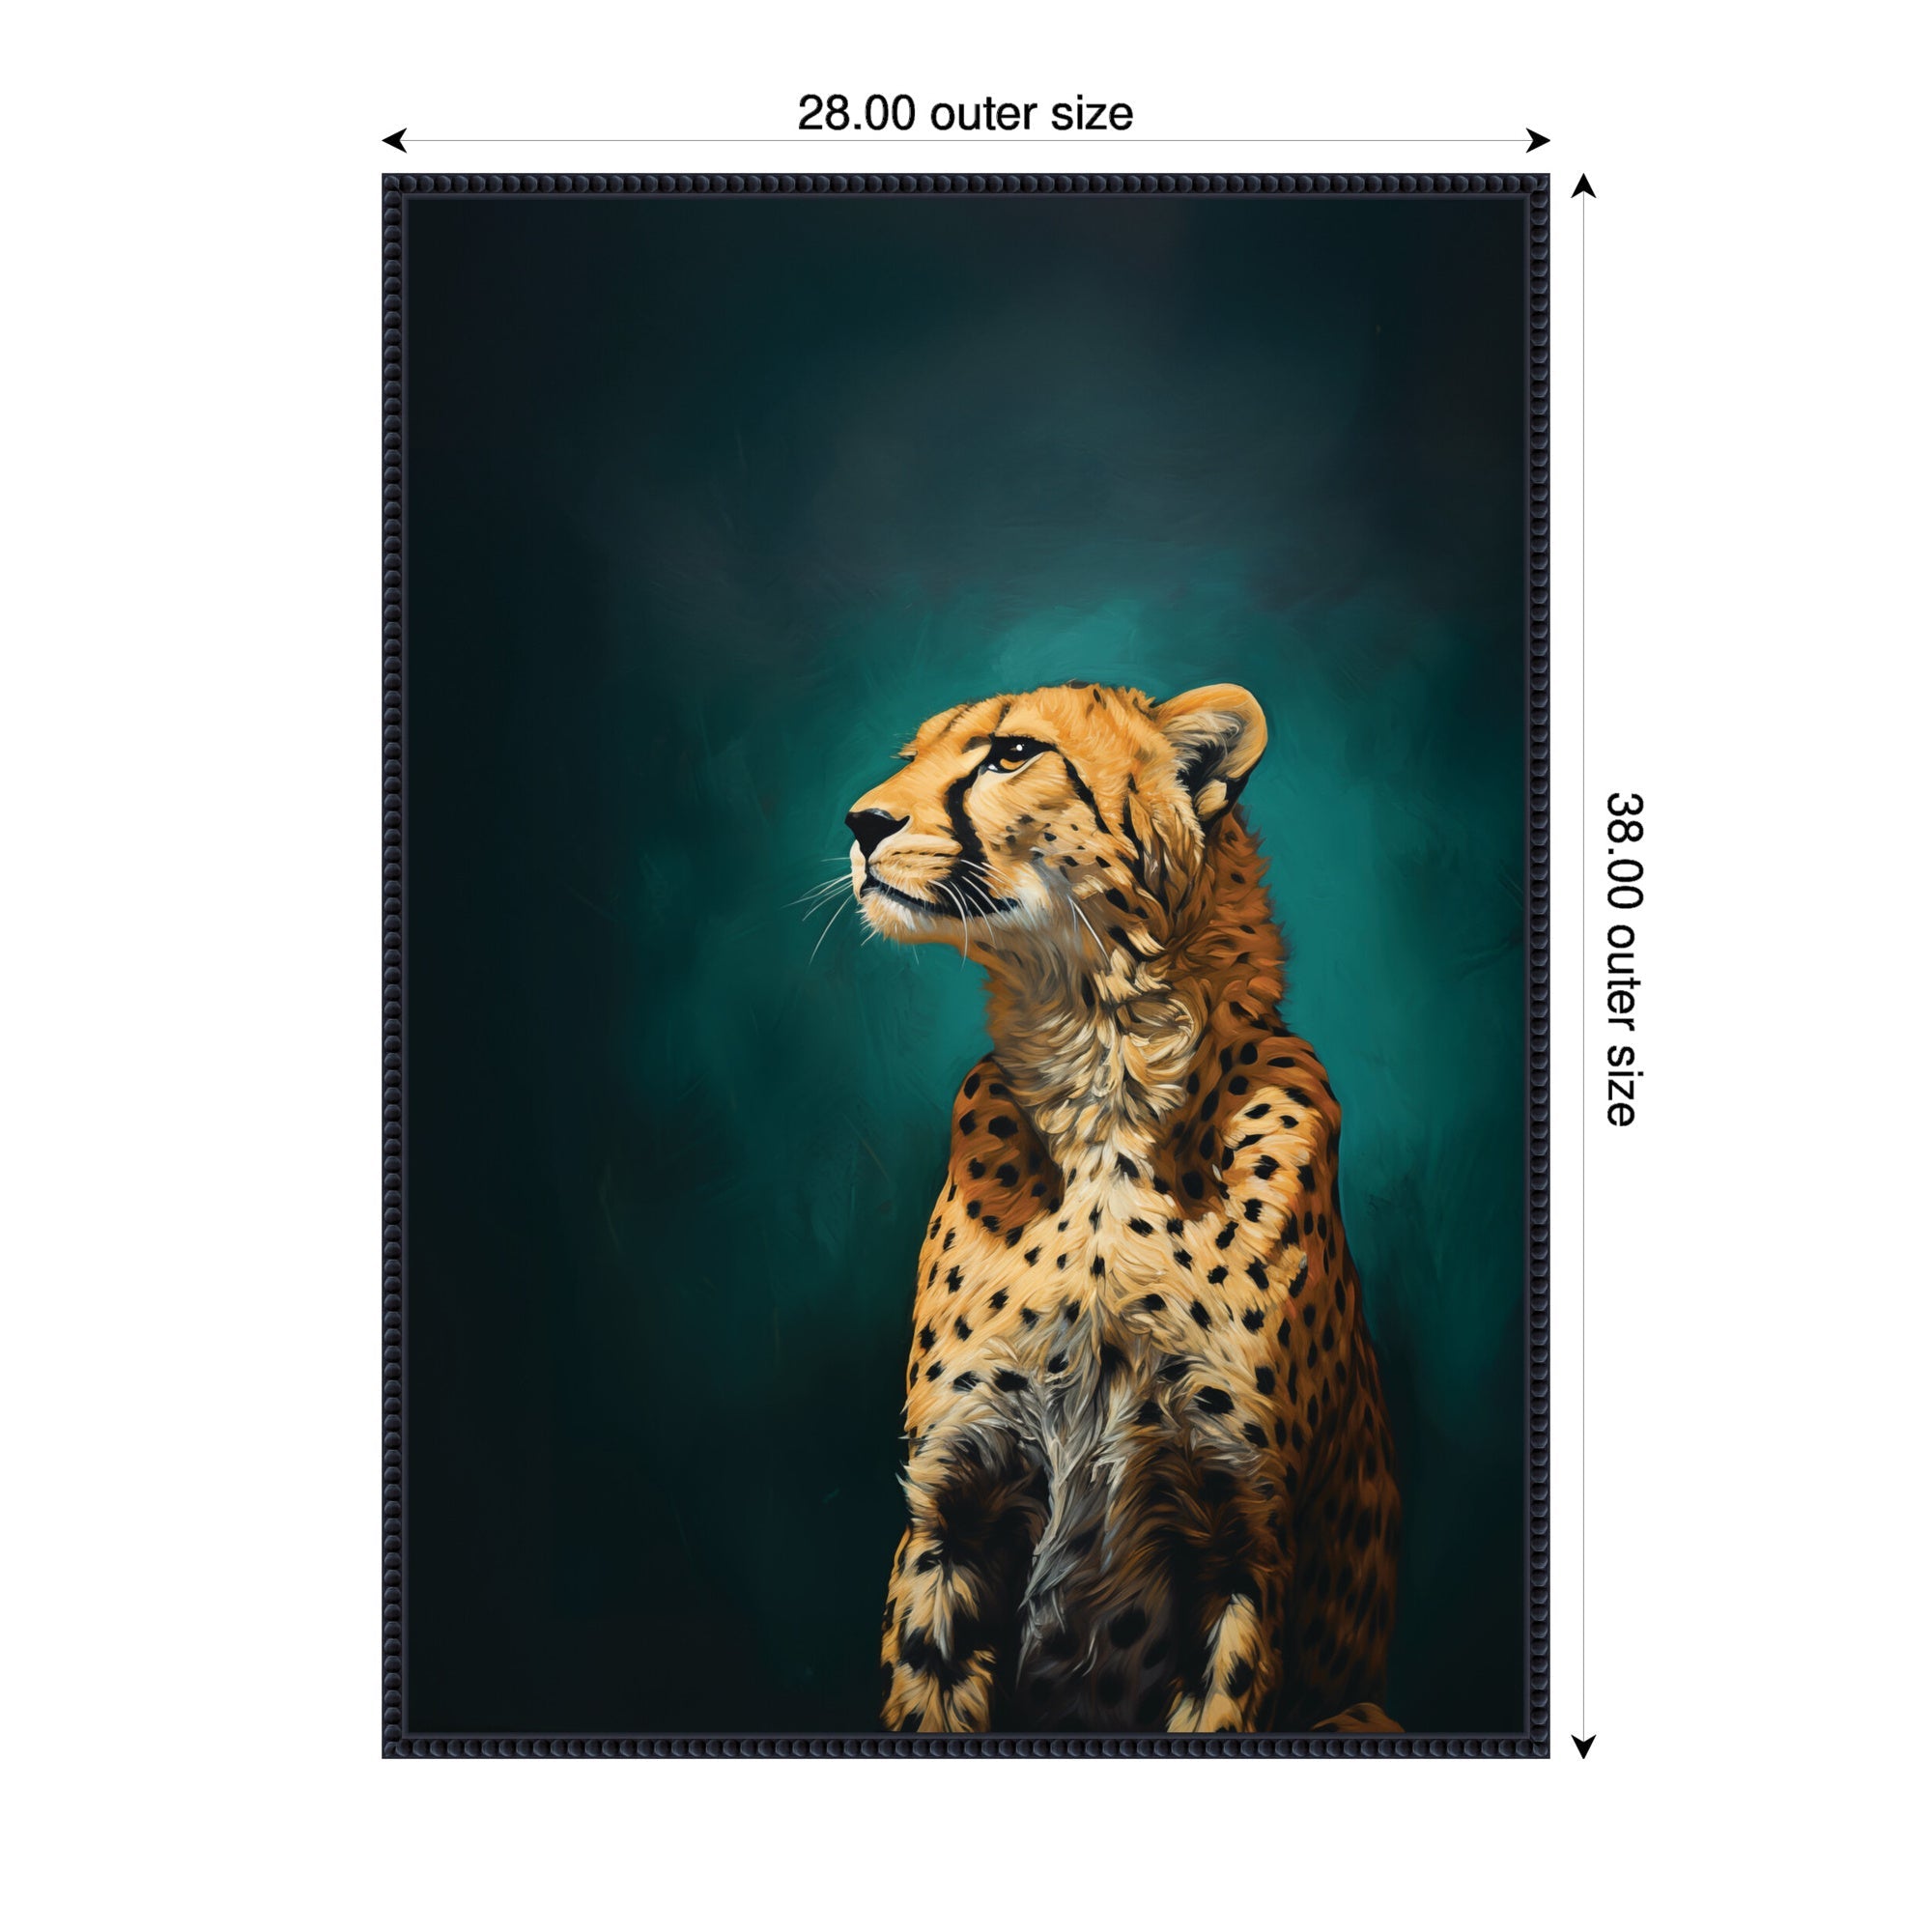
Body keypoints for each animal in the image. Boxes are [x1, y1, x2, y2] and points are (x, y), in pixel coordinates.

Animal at [846, 678, 1401, 1735]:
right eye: (909, 756)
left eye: (1012, 752)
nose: (860, 822)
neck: (1102, 1068)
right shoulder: (952, 1511)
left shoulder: (1243, 1543)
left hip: (1361, 1710)